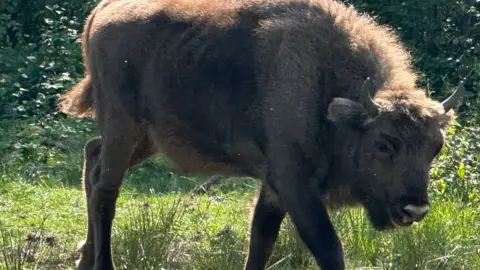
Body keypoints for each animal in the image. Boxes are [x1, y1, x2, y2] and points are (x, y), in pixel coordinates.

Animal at [58, 0, 464, 270]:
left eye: (435, 148)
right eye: (383, 144)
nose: (415, 208)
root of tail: (103, 11)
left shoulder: (273, 188)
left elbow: (261, 241)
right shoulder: (293, 184)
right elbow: (328, 247)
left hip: (145, 138)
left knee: (92, 160)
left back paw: (84, 258)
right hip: (123, 127)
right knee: (106, 191)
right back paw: (102, 264)